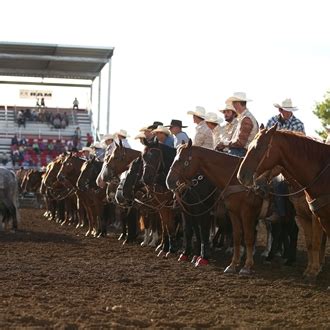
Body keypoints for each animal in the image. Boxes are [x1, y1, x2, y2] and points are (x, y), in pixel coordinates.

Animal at [165, 141, 270, 274]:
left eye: (182, 160)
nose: (169, 181)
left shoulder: (207, 211)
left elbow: (203, 232)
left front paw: (203, 257)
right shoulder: (188, 211)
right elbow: (190, 231)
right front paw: (186, 254)